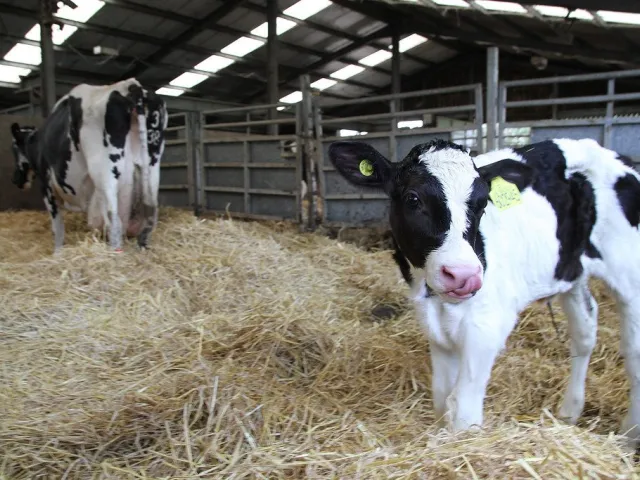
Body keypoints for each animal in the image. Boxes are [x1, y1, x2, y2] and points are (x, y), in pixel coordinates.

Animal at [10, 77, 167, 253]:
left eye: (14, 149)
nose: (15, 180)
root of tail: (130, 85)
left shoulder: (46, 184)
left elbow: (57, 226)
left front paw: (57, 253)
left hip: (104, 172)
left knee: (114, 223)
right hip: (151, 168)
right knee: (149, 220)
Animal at [328, 137, 640, 445]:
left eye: (482, 203)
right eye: (413, 199)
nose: (463, 275)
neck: (435, 299)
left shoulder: (486, 326)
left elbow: (463, 410)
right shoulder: (435, 328)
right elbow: (441, 397)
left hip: (630, 276)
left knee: (633, 350)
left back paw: (630, 433)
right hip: (571, 272)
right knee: (585, 332)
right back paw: (569, 412)